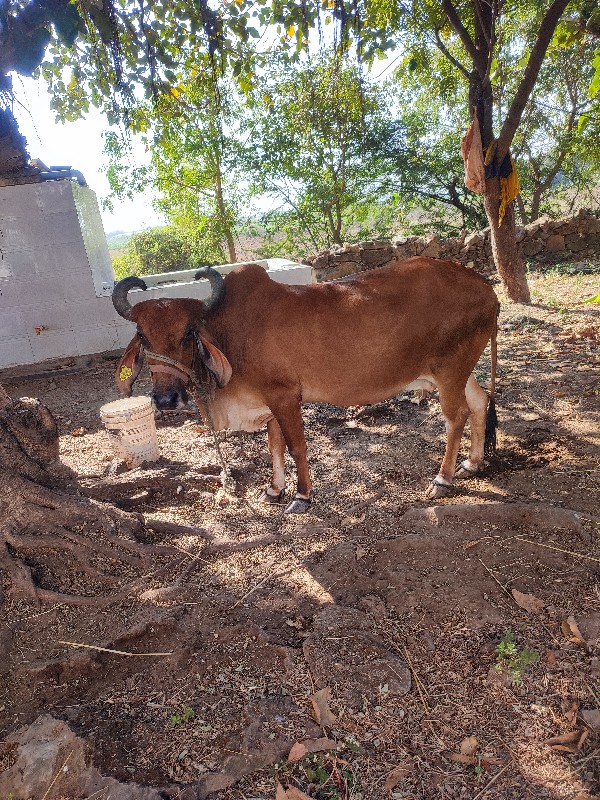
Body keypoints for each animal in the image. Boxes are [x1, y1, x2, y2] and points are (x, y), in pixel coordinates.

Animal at [111, 260, 496, 516]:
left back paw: (443, 479)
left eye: (188, 332)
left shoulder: (285, 397)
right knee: (480, 402)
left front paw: (301, 496)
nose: (165, 399)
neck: (230, 331)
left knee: (456, 416)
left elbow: (296, 447)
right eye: (142, 334)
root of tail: (485, 286)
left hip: (449, 370)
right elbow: (274, 447)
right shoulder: (267, 403)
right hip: (460, 371)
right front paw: (274, 489)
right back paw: (473, 463)